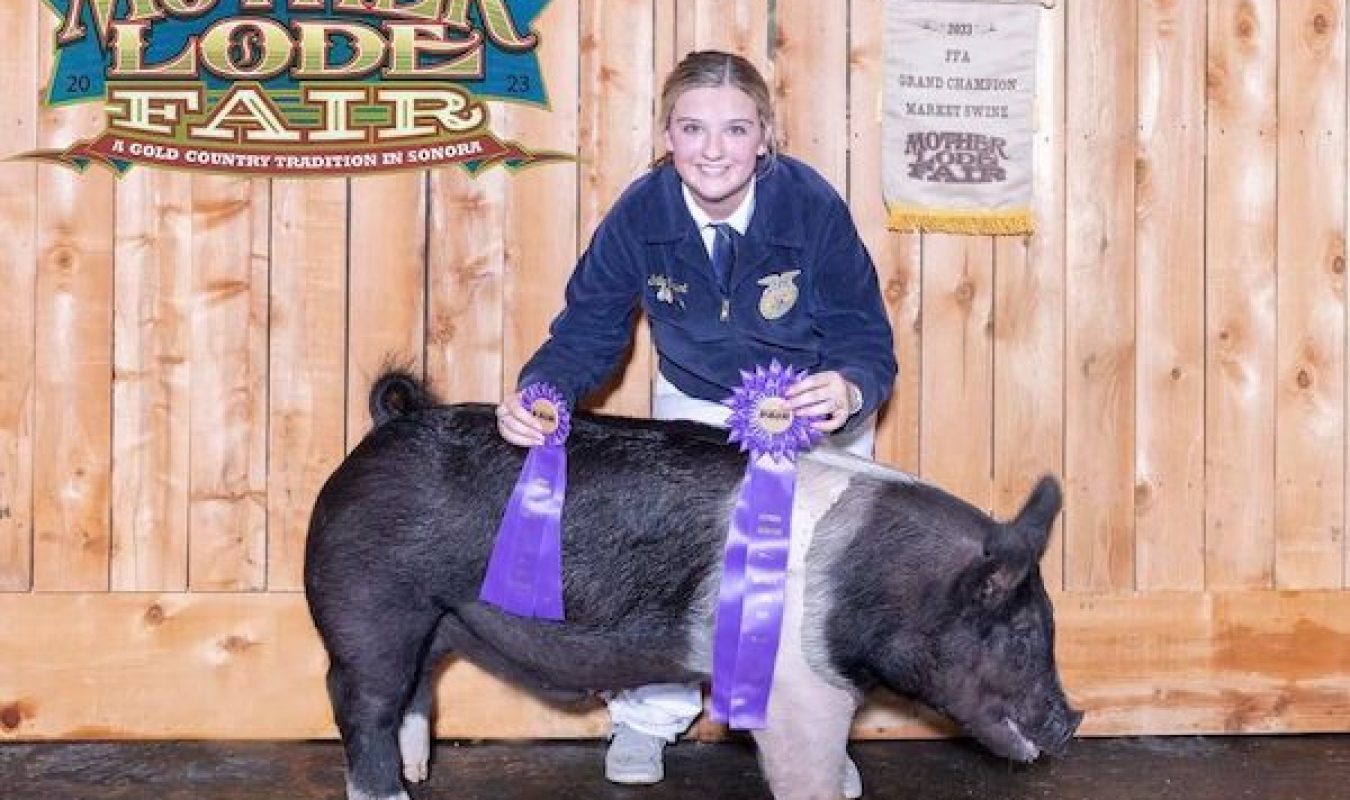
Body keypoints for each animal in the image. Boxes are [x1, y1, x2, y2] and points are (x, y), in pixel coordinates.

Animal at [306, 369, 1085, 798]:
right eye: (1022, 636)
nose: (1074, 720)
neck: (876, 584)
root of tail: (387, 425)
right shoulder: (797, 686)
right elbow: (805, 769)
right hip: (368, 607)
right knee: (363, 705)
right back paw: (390, 793)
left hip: (437, 620)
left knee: (415, 692)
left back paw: (419, 774)